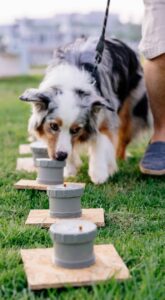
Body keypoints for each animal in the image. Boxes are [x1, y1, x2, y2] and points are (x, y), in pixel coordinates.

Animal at [20, 36, 150, 184]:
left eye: (76, 129)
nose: (60, 156)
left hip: (130, 110)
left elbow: (100, 143)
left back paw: (117, 159)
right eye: (53, 126)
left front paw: (99, 174)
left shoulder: (105, 116)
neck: (70, 82)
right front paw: (69, 170)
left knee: (123, 137)